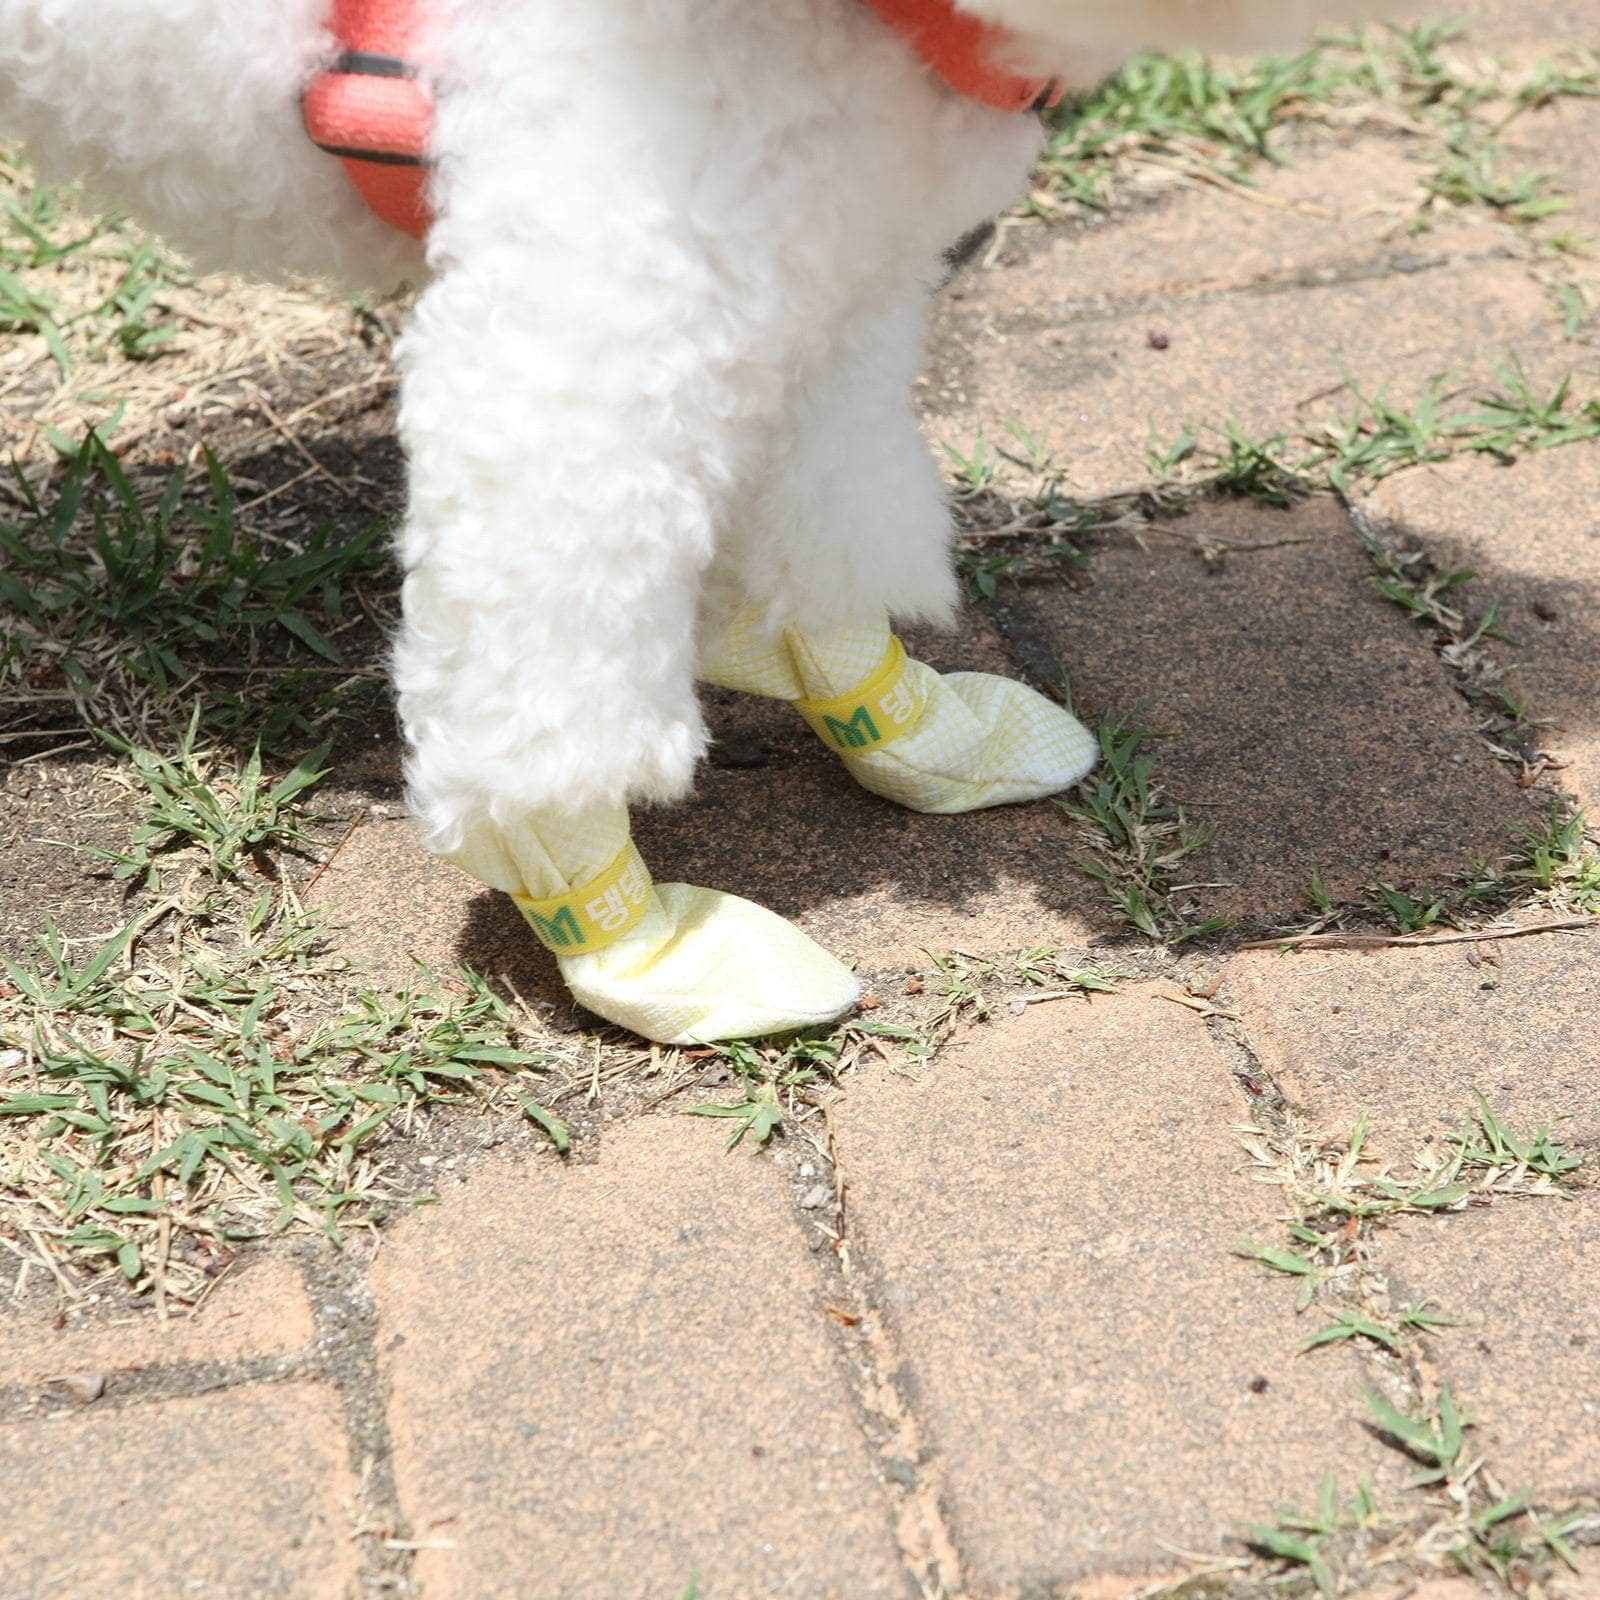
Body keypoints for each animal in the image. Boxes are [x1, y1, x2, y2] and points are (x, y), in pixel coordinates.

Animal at [3, 0, 1363, 1043]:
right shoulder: (572, 344)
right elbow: (537, 686)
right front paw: (643, 943)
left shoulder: (826, 286)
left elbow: (824, 530)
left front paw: (910, 722)